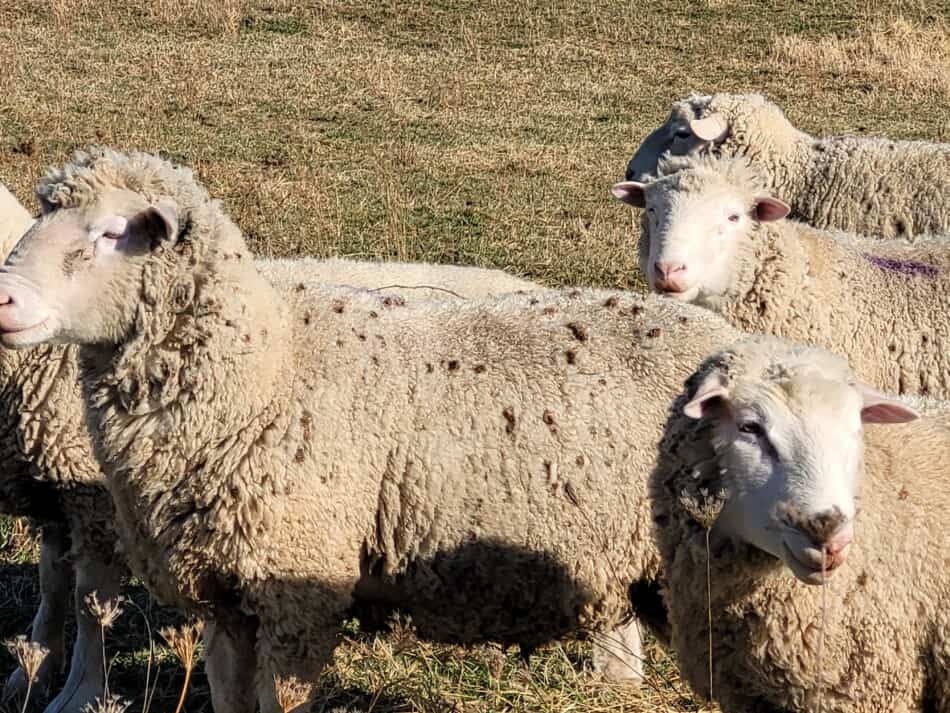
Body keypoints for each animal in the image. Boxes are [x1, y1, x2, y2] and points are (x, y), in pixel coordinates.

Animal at [0, 147, 760, 708]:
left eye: (109, 233)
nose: (3, 298)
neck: (265, 370)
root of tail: (734, 339)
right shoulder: (225, 592)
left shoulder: (294, 584)